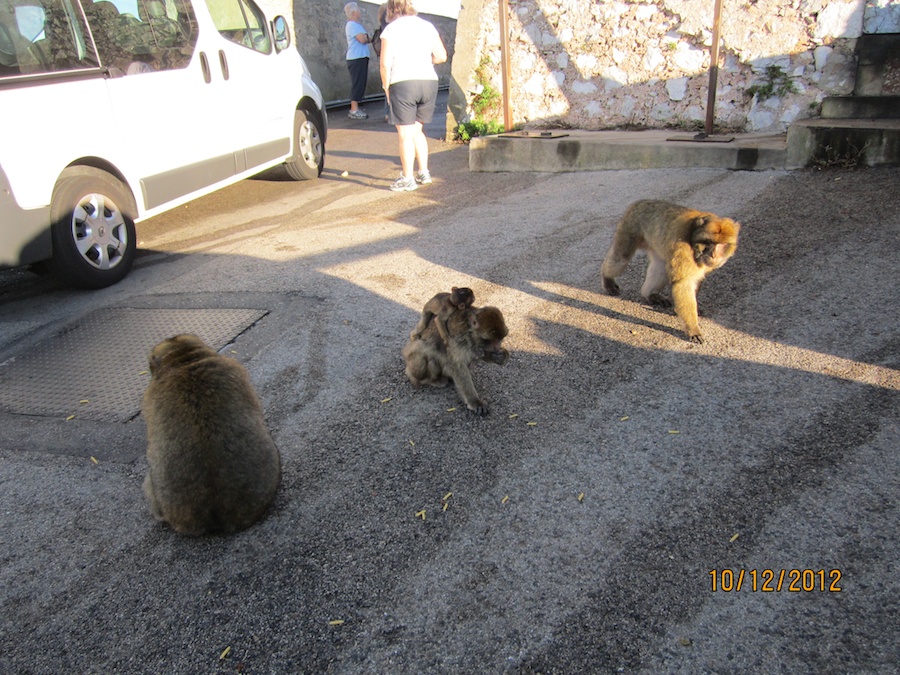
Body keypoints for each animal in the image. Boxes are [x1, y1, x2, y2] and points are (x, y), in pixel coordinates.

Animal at [378, 0, 448, 193]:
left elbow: (384, 64)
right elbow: (440, 54)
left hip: (404, 101)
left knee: (406, 137)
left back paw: (406, 181)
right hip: (426, 102)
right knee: (418, 135)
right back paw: (424, 176)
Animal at [600, 199, 740, 344]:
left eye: (721, 245)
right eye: (708, 242)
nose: (713, 255)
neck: (692, 237)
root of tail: (640, 201)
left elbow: (694, 280)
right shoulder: (683, 250)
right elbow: (683, 284)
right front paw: (693, 329)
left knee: (660, 268)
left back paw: (650, 294)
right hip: (630, 228)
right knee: (621, 259)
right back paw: (607, 279)